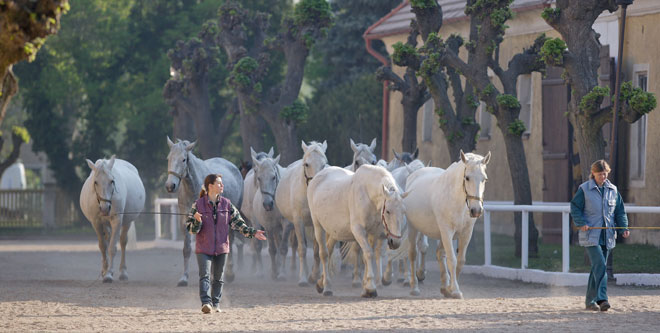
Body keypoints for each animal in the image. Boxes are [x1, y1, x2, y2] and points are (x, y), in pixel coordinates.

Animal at [165, 136, 245, 286]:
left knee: (230, 240)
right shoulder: (186, 220)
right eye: (169, 158)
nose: (170, 186)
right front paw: (184, 278)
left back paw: (229, 273)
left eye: (184, 159)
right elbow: (187, 249)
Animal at [274, 139, 328, 286]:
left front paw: (314, 276)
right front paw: (303, 278)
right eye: (307, 164)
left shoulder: (316, 223)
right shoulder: (298, 221)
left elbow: (316, 250)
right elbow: (302, 249)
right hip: (290, 223)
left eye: (324, 164)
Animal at [308, 165, 408, 296]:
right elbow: (368, 254)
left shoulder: (375, 234)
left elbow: (370, 256)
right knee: (324, 254)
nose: (395, 242)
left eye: (403, 211)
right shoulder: (359, 231)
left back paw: (320, 283)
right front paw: (370, 288)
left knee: (329, 250)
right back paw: (327, 287)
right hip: (318, 226)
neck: (368, 195)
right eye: (388, 211)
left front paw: (368, 286)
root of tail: (317, 177)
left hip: (335, 231)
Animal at [402, 149, 490, 296]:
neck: (457, 201)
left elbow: (460, 260)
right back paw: (414, 287)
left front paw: (450, 288)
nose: (476, 210)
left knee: (439, 254)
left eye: (484, 179)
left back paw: (444, 286)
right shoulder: (447, 231)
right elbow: (452, 259)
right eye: (467, 177)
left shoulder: (466, 233)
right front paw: (455, 290)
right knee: (413, 253)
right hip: (413, 227)